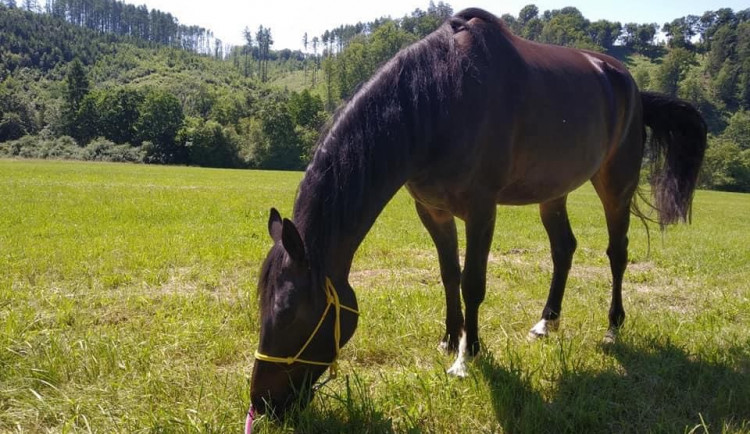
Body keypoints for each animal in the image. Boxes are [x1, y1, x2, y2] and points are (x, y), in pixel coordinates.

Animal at [248, 6, 712, 424]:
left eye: (289, 313)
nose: (263, 405)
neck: (441, 100)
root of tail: (631, 86)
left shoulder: (480, 208)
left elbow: (473, 282)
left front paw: (467, 356)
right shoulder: (432, 210)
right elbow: (448, 275)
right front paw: (449, 339)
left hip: (615, 184)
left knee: (617, 252)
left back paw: (613, 327)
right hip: (553, 192)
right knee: (564, 249)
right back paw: (546, 323)